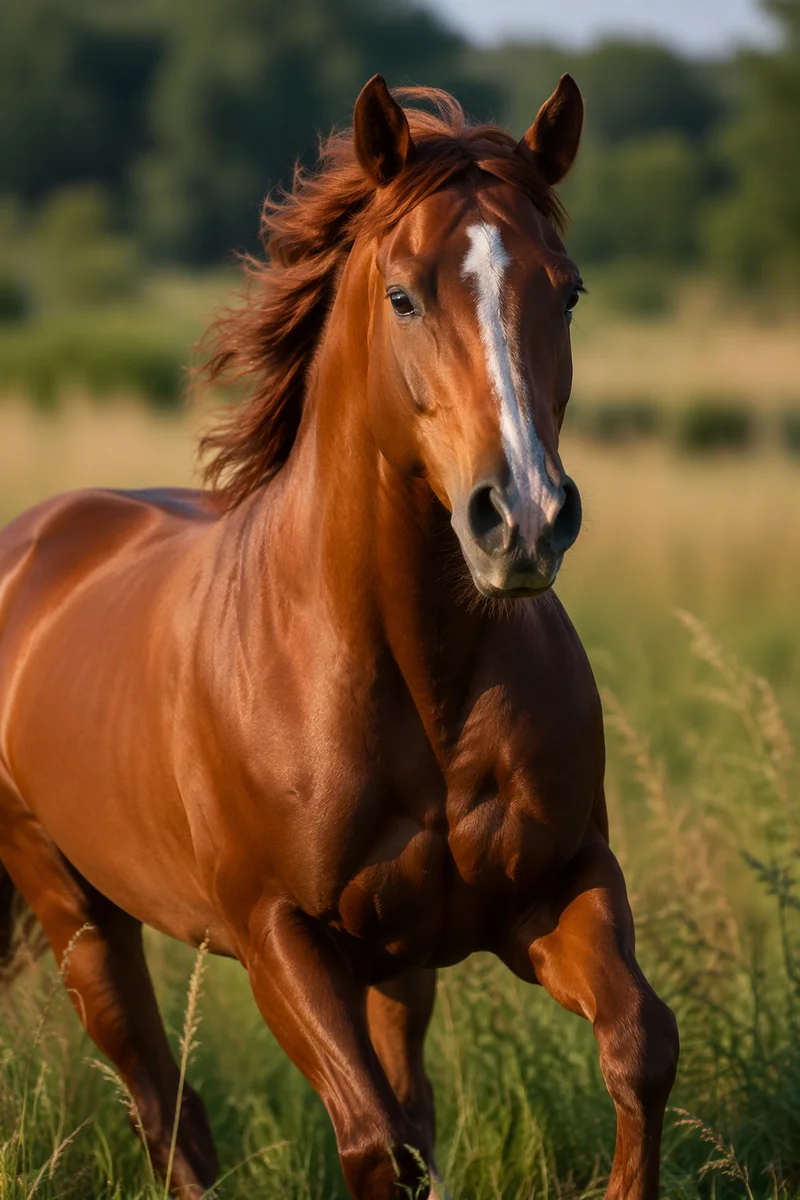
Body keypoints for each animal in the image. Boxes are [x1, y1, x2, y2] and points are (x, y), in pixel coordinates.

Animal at [0, 75, 678, 1198]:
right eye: (403, 296)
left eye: (569, 291)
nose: (524, 519)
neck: (412, 671)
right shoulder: (280, 934)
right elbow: (374, 1143)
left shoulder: (557, 883)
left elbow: (637, 1047)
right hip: (77, 915)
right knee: (169, 1114)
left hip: (395, 963)